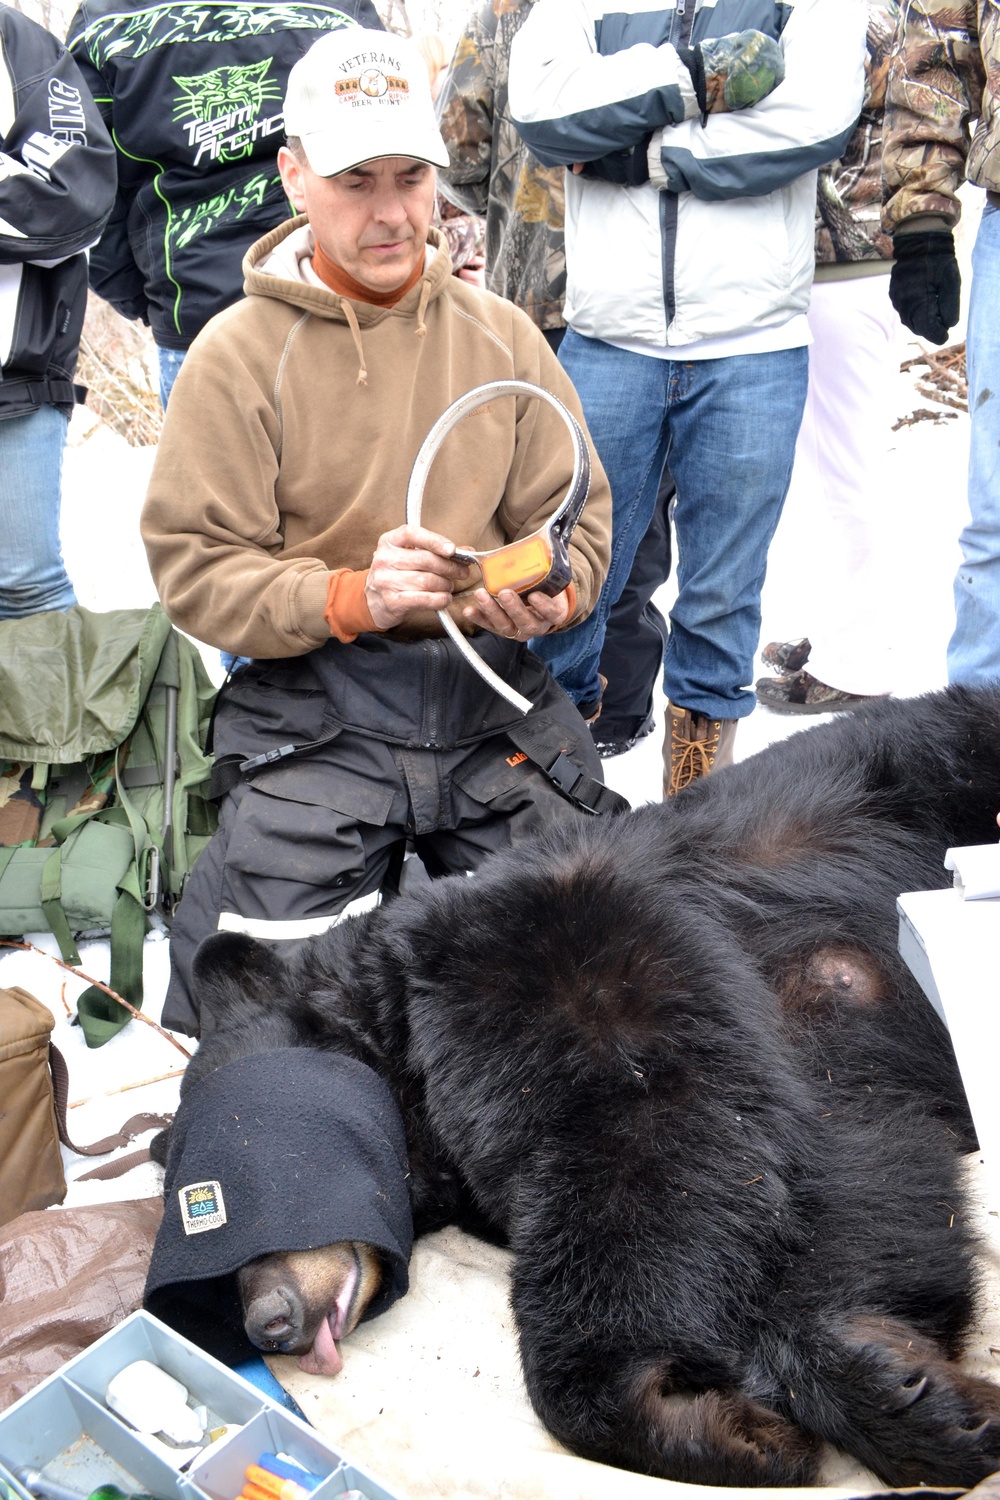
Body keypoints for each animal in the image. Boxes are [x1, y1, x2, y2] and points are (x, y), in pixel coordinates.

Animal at [146, 687, 1000, 1488]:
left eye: (241, 1165)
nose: (267, 1322)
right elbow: (859, 1175)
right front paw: (891, 1384)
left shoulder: (564, 958)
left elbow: (662, 1141)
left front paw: (690, 1414)